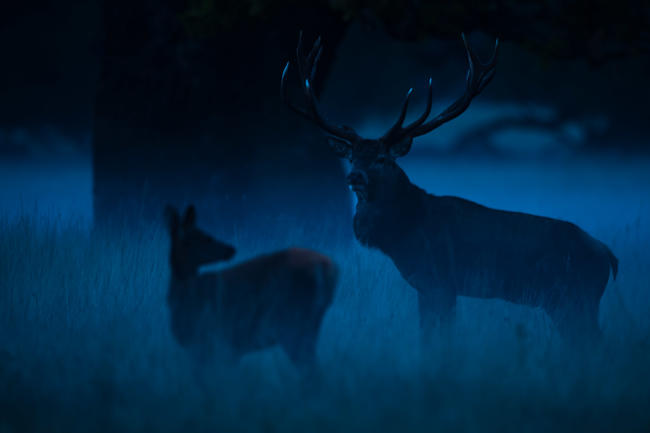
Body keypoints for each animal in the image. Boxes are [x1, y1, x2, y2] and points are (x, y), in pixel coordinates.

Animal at [163, 204, 340, 372]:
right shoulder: (225, 349)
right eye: (203, 237)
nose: (230, 249)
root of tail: (330, 268)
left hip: (293, 322)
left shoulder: (207, 343)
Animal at [280, 33, 616, 344]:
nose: (354, 177)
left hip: (574, 297)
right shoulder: (430, 286)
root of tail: (609, 257)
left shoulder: (438, 281)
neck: (405, 232)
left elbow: (435, 338)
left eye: (382, 159)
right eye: (351, 157)